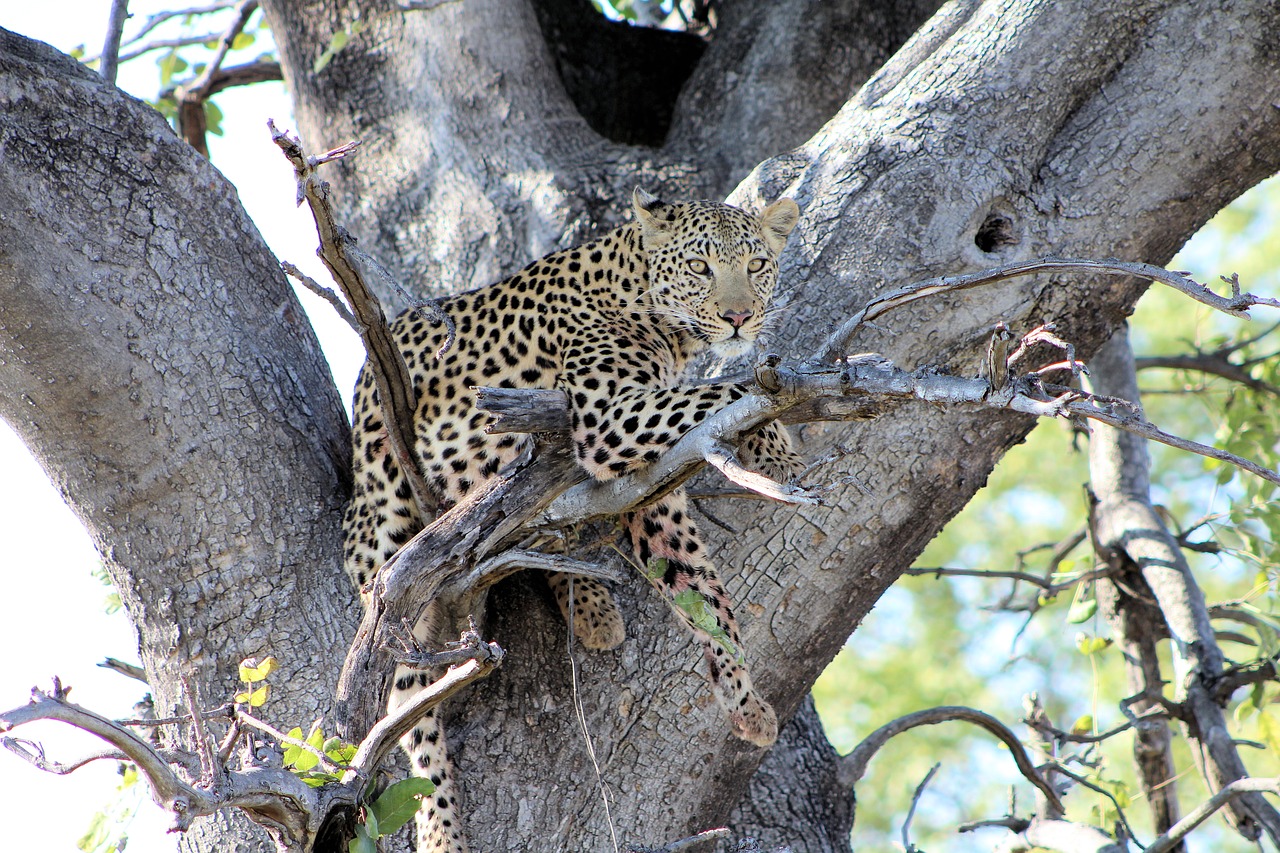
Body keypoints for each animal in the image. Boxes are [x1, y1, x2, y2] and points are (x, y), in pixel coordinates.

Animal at [340, 188, 798, 850]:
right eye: (702, 267)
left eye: (756, 265)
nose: (739, 317)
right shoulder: (612, 416)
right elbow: (723, 390)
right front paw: (778, 440)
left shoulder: (651, 483)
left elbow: (700, 589)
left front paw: (745, 701)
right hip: (385, 553)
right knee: (411, 722)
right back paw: (439, 830)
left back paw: (592, 607)